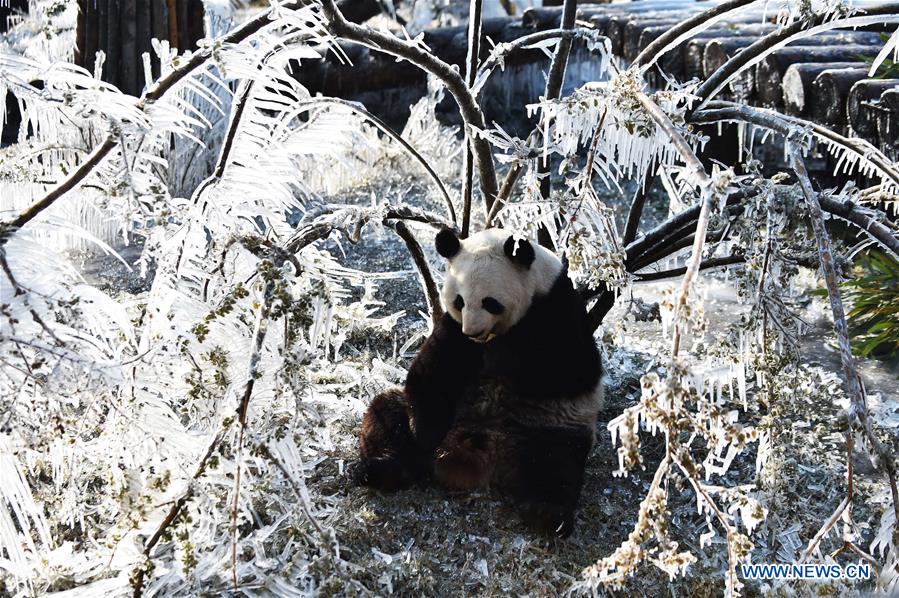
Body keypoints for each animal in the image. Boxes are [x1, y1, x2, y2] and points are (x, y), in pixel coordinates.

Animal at [356, 227, 600, 536]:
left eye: (490, 302)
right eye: (459, 301)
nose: (472, 331)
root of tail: (478, 454)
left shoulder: (558, 310)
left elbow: (566, 369)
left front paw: (504, 356)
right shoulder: (452, 329)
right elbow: (434, 370)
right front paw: (423, 433)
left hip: (548, 425)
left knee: (555, 466)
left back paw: (548, 517)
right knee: (387, 416)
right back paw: (380, 470)